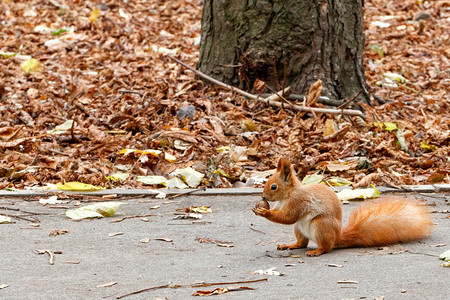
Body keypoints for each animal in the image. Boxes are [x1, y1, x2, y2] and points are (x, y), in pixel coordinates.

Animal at [253, 158, 432, 256]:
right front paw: (258, 209)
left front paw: (264, 212)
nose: (263, 197)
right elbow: (279, 212)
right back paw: (290, 245)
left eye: (274, 186)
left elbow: (287, 217)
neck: (288, 195)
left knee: (326, 247)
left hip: (321, 225)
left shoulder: (298, 201)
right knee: (302, 243)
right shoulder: (280, 204)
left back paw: (316, 251)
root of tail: (337, 237)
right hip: (299, 228)